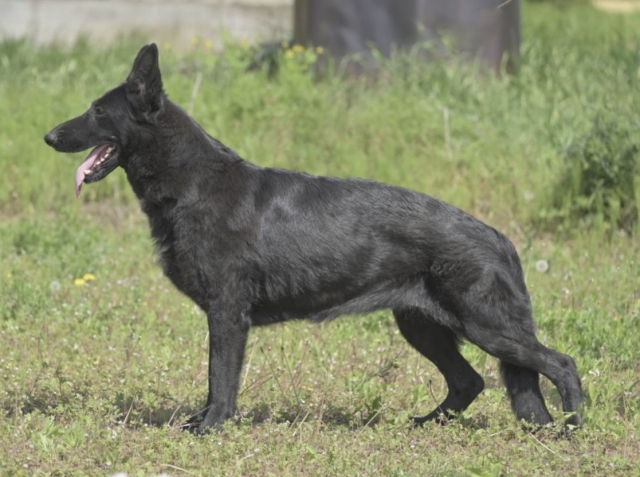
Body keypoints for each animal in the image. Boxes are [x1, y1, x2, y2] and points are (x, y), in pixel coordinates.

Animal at [43, 44, 584, 432]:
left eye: (97, 111)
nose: (48, 137)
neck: (192, 184)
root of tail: (500, 238)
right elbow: (216, 381)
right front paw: (204, 422)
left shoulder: (227, 314)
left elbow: (221, 379)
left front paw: (212, 427)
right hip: (423, 328)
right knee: (469, 381)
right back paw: (426, 425)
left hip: (486, 328)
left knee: (562, 364)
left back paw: (573, 428)